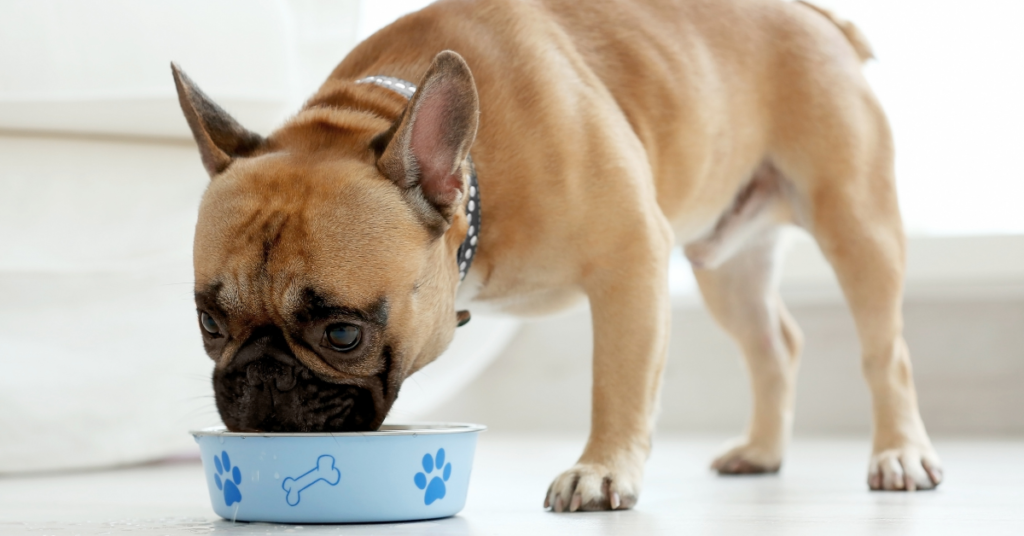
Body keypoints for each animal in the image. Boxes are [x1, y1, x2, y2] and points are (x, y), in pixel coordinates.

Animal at [174, 0, 942, 514]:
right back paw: (762, 451)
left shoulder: (632, 258)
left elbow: (619, 382)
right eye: (209, 324)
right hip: (727, 266)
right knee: (774, 345)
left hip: (857, 223)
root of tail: (821, 20)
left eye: (343, 333)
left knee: (888, 353)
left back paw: (900, 453)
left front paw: (602, 472)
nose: (262, 377)